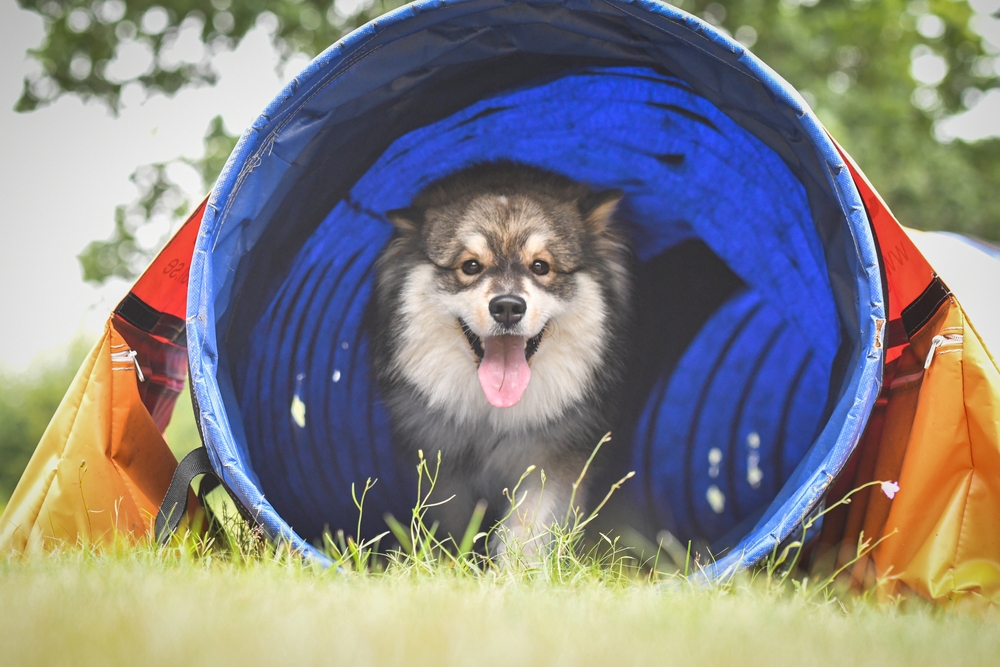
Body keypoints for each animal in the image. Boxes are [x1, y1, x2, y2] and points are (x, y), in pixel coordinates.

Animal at [368, 159, 632, 556]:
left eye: (540, 267)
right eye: (470, 266)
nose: (507, 307)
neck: (493, 417)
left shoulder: (553, 461)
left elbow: (526, 530)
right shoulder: (445, 467)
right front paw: (454, 560)